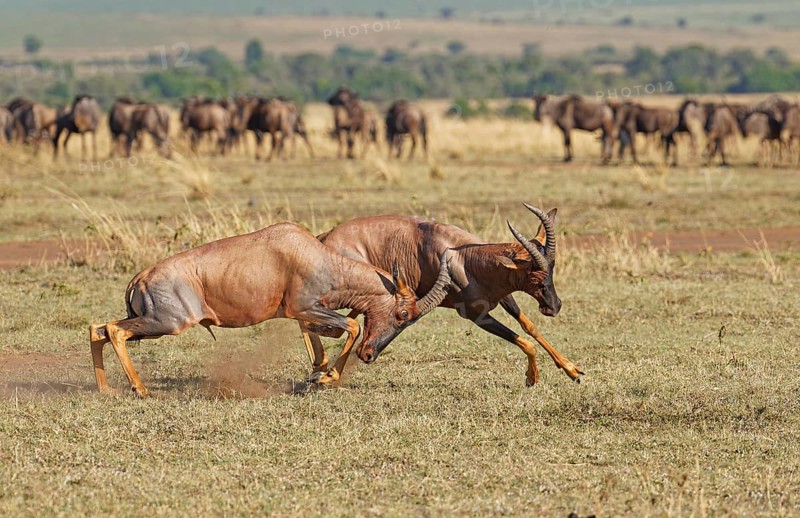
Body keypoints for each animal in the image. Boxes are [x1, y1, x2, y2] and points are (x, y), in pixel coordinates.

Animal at [89, 222, 450, 397]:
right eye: (403, 315)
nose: (369, 355)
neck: (314, 254)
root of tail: (139, 277)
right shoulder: (305, 306)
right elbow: (352, 325)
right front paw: (327, 376)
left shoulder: (299, 311)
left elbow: (325, 331)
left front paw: (319, 371)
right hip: (168, 322)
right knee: (113, 330)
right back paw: (140, 389)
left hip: (149, 321)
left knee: (99, 329)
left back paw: (107, 389)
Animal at [305, 204, 581, 387]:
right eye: (534, 275)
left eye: (552, 267)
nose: (554, 306)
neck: (466, 258)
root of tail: (326, 237)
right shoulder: (477, 316)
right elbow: (525, 342)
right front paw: (532, 378)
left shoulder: (503, 298)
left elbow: (529, 326)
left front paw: (573, 370)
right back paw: (325, 370)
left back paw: (324, 368)